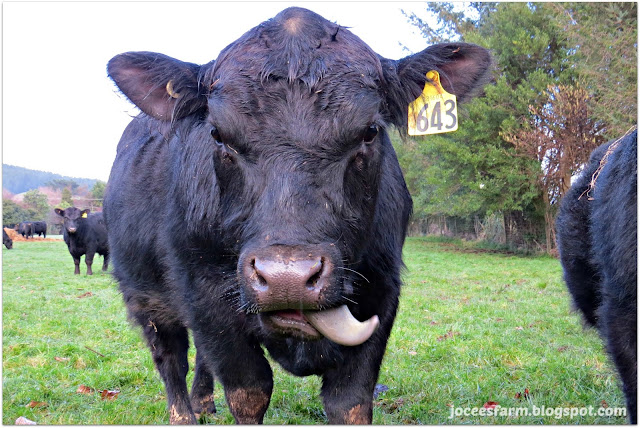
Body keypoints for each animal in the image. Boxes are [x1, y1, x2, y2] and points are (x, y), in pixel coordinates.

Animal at [104, 6, 490, 424]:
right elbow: (248, 392)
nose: (285, 278)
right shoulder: (205, 296)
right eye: (218, 135)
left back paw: (204, 402)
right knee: (170, 356)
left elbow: (350, 401)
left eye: (370, 131)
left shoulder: (383, 288)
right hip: (144, 296)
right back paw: (185, 414)